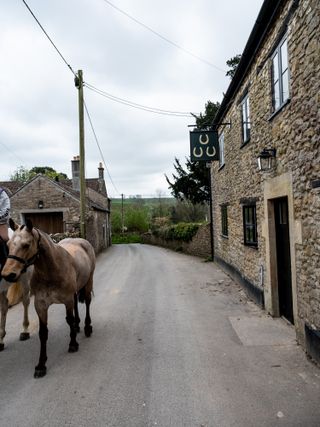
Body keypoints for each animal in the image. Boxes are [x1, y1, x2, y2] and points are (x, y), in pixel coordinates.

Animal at [1, 221, 96, 378]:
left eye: (26, 245)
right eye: (8, 244)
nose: (8, 274)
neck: (51, 271)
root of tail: (80, 240)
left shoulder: (67, 300)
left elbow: (69, 320)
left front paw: (73, 344)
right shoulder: (40, 305)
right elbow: (43, 333)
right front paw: (41, 365)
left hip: (88, 282)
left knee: (87, 302)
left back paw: (87, 327)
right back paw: (77, 325)